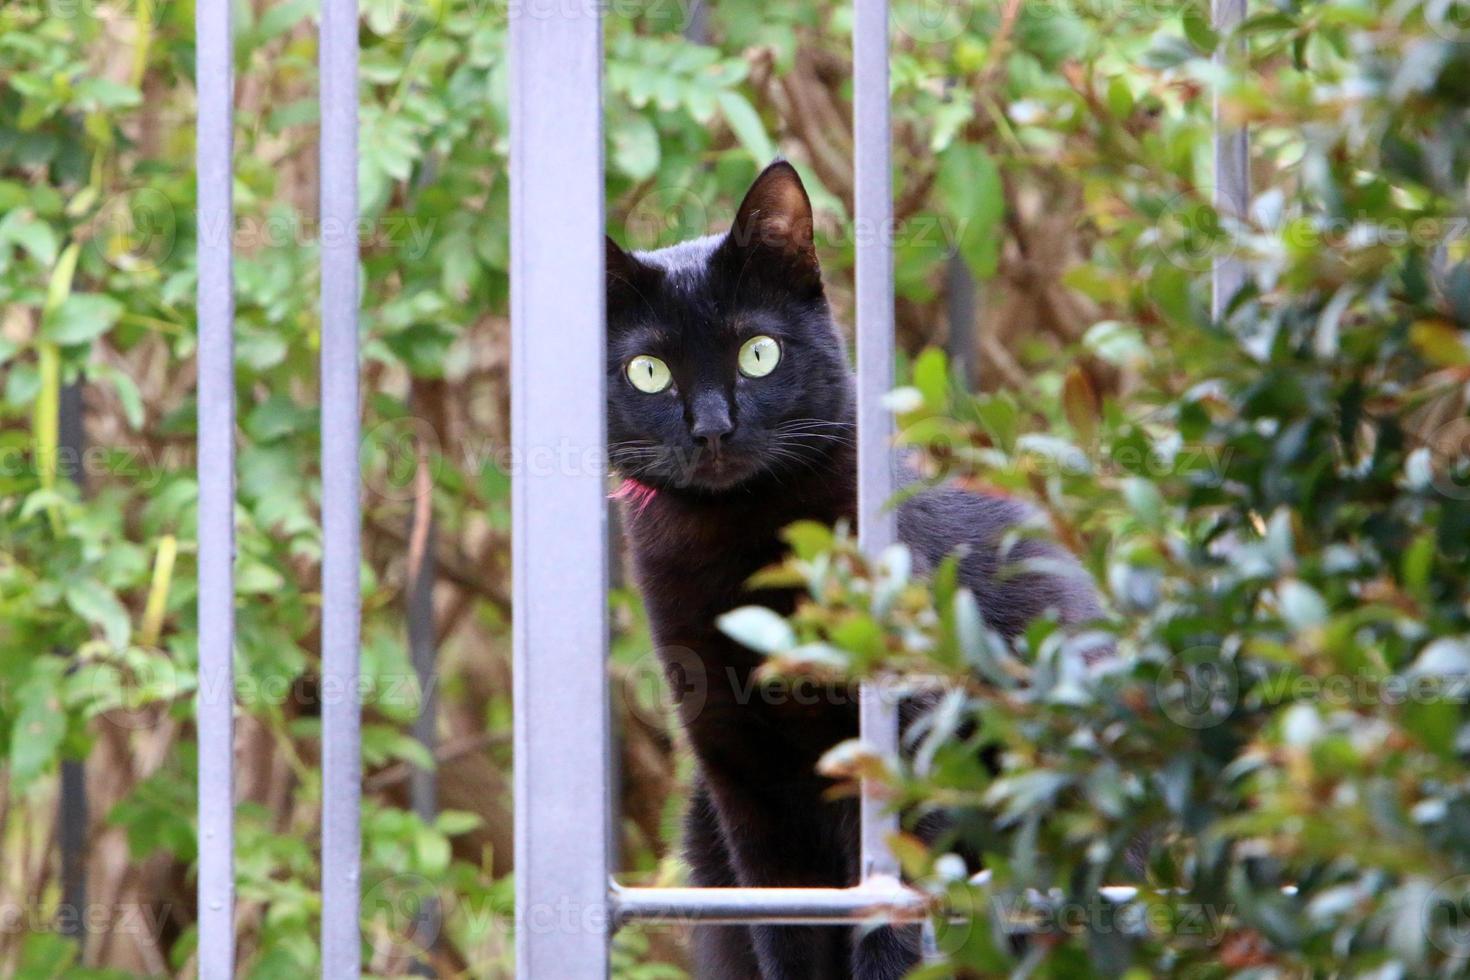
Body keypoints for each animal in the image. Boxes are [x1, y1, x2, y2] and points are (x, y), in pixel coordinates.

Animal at [608, 163, 1105, 980]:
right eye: (648, 372)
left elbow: (895, 914)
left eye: (758, 353)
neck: (742, 547)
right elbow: (786, 930)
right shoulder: (743, 779)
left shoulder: (910, 741)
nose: (712, 429)